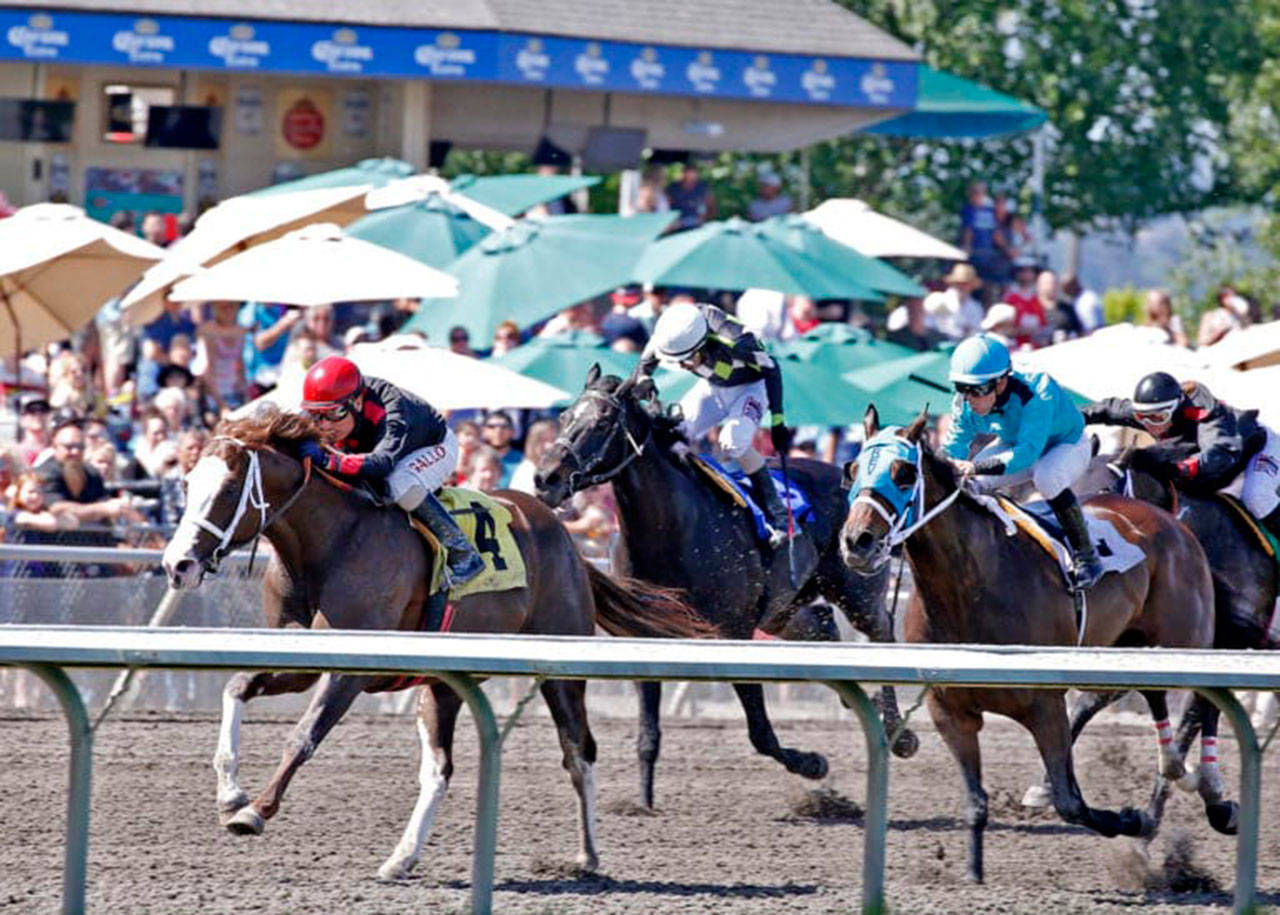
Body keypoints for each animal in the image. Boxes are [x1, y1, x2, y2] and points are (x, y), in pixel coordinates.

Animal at [160, 406, 716, 880]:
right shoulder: (297, 656)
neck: (329, 542)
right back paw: (401, 858)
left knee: (578, 752)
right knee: (440, 770)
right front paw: (230, 792)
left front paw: (254, 810)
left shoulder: (350, 668)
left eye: (229, 487)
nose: (176, 564)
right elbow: (236, 686)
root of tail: (565, 540)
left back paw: (588, 854)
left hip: (561, 671)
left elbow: (303, 737)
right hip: (443, 683)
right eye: (186, 484)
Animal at [535, 366, 916, 808]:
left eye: (601, 422)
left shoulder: (734, 631)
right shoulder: (645, 633)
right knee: (822, 624)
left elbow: (760, 731)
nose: (544, 478)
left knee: (881, 632)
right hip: (784, 610)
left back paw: (898, 731)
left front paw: (812, 763)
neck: (672, 529)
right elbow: (648, 733)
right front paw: (643, 802)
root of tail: (853, 479)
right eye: (564, 417)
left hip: (857, 588)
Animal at [839, 406, 1218, 885]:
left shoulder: (1044, 704)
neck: (969, 588)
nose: (857, 542)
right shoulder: (951, 712)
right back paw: (1175, 770)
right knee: (1148, 699)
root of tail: (1170, 522)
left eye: (903, 473)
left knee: (1203, 704)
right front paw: (972, 873)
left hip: (1186, 641)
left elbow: (1071, 802)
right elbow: (976, 801)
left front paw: (1131, 819)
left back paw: (1212, 798)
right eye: (853, 469)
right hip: (1127, 647)